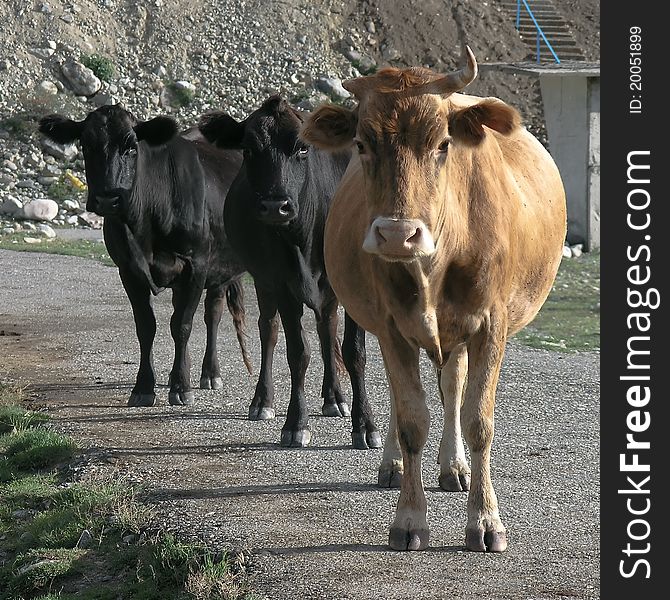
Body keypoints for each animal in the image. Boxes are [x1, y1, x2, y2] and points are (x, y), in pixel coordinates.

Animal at [41, 105, 252, 408]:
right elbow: (146, 327)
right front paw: (143, 387)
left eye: (131, 146)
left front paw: (181, 387)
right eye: (86, 144)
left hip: (220, 268)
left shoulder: (197, 265)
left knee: (212, 313)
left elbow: (182, 325)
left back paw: (210, 374)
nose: (107, 198)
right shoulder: (128, 269)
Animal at [197, 96, 380, 448]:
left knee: (327, 328)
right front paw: (296, 423)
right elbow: (297, 352)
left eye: (303, 149)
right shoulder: (281, 281)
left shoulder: (357, 282)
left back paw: (335, 397)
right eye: (248, 150)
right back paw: (263, 401)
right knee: (269, 330)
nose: (274, 206)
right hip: (264, 281)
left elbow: (354, 352)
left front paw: (365, 424)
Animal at [302, 45, 568, 552]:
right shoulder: (391, 326)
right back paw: (393, 463)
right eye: (362, 144)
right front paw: (409, 519)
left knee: (453, 385)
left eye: (443, 144)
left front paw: (485, 520)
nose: (397, 234)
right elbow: (411, 419)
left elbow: (477, 420)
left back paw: (454, 466)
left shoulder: (490, 325)